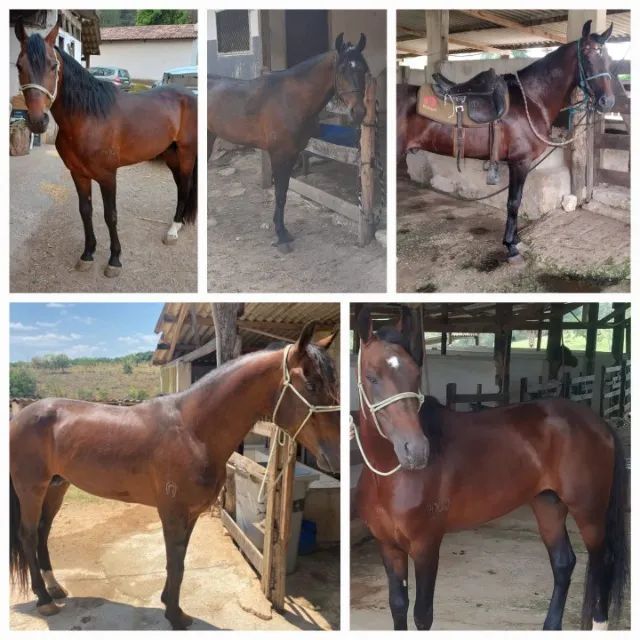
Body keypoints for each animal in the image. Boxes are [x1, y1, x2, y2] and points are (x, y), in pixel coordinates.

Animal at [10, 322, 339, 630]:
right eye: (311, 384)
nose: (335, 456)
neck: (193, 430)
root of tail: (20, 416)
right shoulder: (172, 513)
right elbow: (175, 565)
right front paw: (175, 615)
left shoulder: (189, 513)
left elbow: (179, 562)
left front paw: (171, 605)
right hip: (31, 488)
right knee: (28, 534)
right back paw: (44, 599)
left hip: (57, 487)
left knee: (43, 532)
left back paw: (55, 588)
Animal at [14, 18, 197, 278]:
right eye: (19, 66)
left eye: (53, 65)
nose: (38, 121)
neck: (88, 117)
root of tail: (189, 95)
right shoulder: (78, 174)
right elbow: (85, 211)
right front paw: (87, 254)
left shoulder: (108, 176)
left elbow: (110, 216)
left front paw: (114, 260)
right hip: (171, 155)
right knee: (181, 185)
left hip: (186, 153)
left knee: (185, 186)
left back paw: (173, 230)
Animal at [207, 33, 368, 251]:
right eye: (342, 69)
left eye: (364, 69)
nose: (358, 112)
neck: (291, 99)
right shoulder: (278, 154)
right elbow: (280, 194)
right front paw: (281, 236)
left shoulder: (292, 154)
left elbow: (283, 192)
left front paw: (282, 230)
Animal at [352, 306, 628, 630]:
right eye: (371, 377)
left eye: (415, 374)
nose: (416, 451)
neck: (390, 476)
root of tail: (599, 423)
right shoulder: (388, 546)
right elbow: (398, 606)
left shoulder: (425, 545)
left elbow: (422, 614)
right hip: (548, 504)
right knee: (564, 563)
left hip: (589, 510)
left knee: (602, 561)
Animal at [397, 20, 616, 264]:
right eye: (586, 54)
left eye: (608, 57)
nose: (607, 102)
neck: (532, 99)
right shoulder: (519, 163)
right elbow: (514, 201)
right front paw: (511, 246)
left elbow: (515, 201)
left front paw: (516, 239)